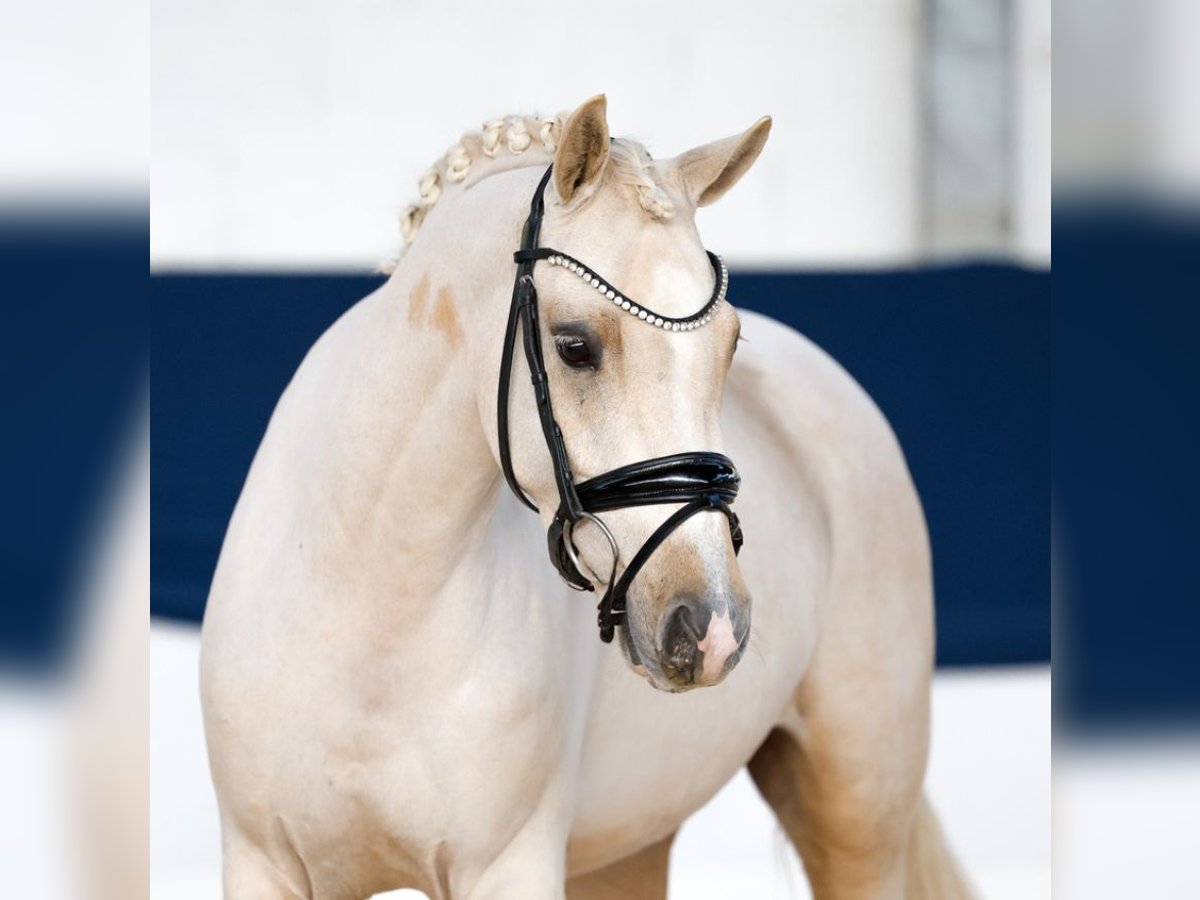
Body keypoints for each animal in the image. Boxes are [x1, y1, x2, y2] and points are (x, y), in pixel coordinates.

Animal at [201, 95, 969, 897]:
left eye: (728, 346)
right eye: (574, 346)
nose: (710, 629)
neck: (373, 621)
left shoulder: (509, 865)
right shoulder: (262, 864)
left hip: (858, 813)